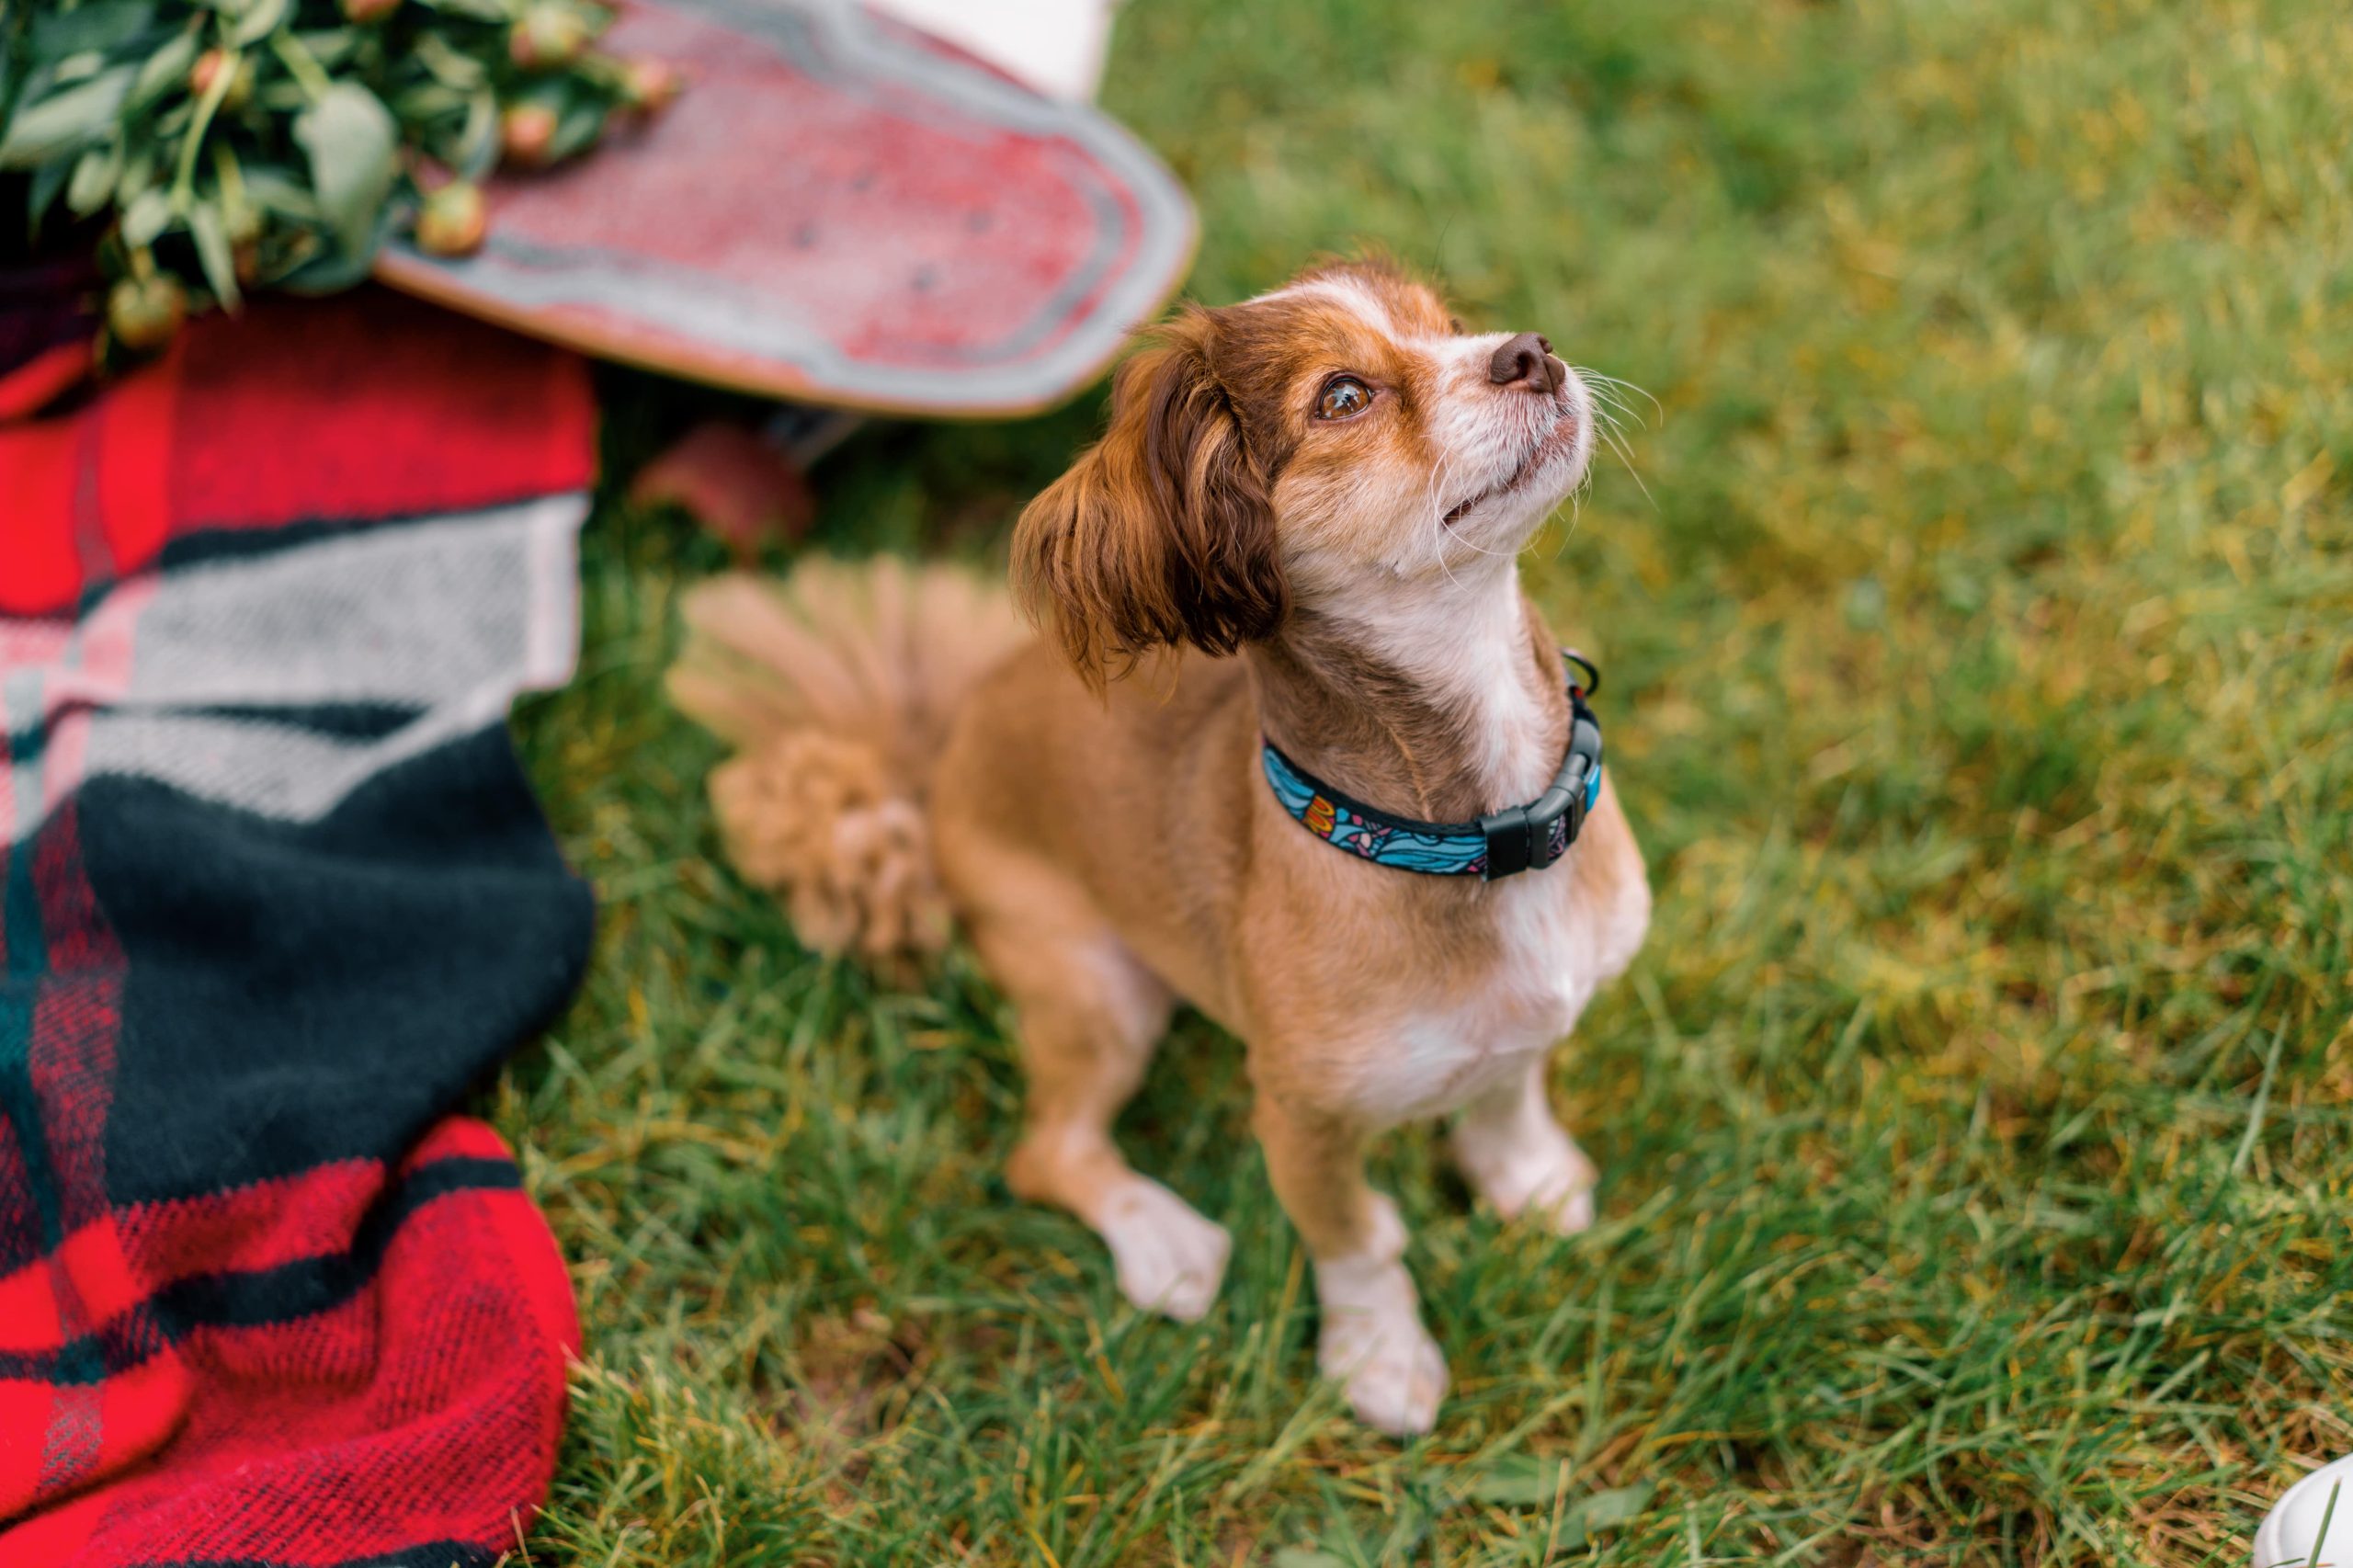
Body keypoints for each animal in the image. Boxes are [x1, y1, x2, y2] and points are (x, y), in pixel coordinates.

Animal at [673, 256, 1647, 1431]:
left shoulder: (1521, 1023)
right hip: (1099, 992)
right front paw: (1378, 1355)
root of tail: (942, 747)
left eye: (1450, 325)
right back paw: (1163, 1240)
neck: (1470, 833)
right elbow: (1356, 1239)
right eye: (1343, 398)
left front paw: (1527, 1175)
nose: (1528, 352)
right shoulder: (1302, 1116)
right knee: (1045, 1152)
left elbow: (1510, 1082)